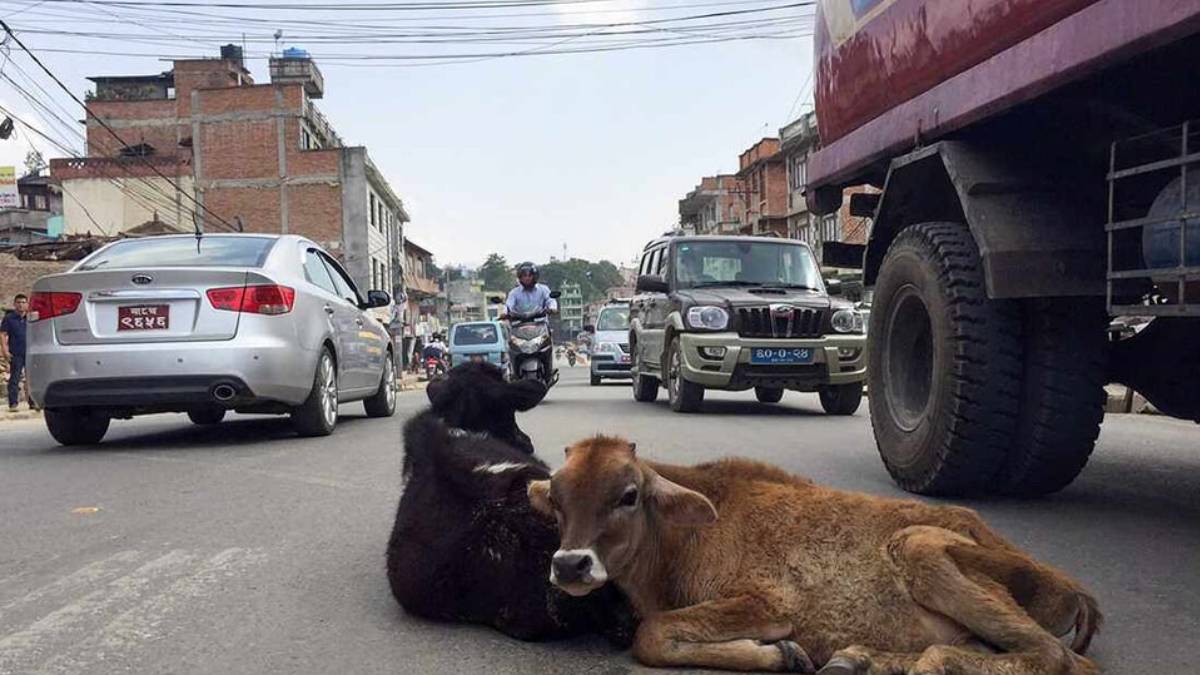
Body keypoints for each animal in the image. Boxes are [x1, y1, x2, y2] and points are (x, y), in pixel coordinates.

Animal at [530, 437, 1099, 672]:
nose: (570, 564)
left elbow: (650, 635)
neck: (682, 540)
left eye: (628, 495)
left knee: (1058, 659)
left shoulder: (768, 603)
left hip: (919, 547)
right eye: (556, 499)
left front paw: (778, 653)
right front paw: (786, 655)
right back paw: (857, 660)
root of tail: (1075, 589)